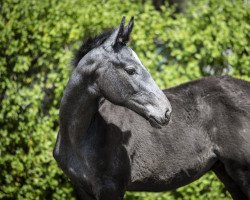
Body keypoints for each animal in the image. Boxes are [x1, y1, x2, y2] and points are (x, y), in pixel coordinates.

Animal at [53, 17, 250, 200]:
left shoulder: (112, 187)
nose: (166, 112)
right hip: (226, 172)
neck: (80, 137)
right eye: (130, 70)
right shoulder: (82, 189)